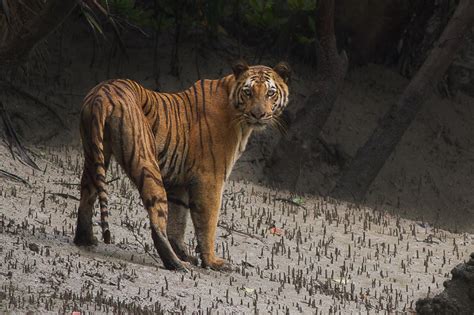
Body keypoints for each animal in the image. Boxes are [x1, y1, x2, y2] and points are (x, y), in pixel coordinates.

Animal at [72, 59, 290, 272]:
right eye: (248, 92)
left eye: (270, 93)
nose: (258, 114)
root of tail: (103, 93)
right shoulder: (210, 178)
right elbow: (208, 223)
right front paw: (212, 262)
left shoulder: (179, 183)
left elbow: (178, 221)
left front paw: (186, 254)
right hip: (146, 163)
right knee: (157, 221)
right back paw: (176, 264)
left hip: (95, 154)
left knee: (87, 196)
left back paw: (85, 239)